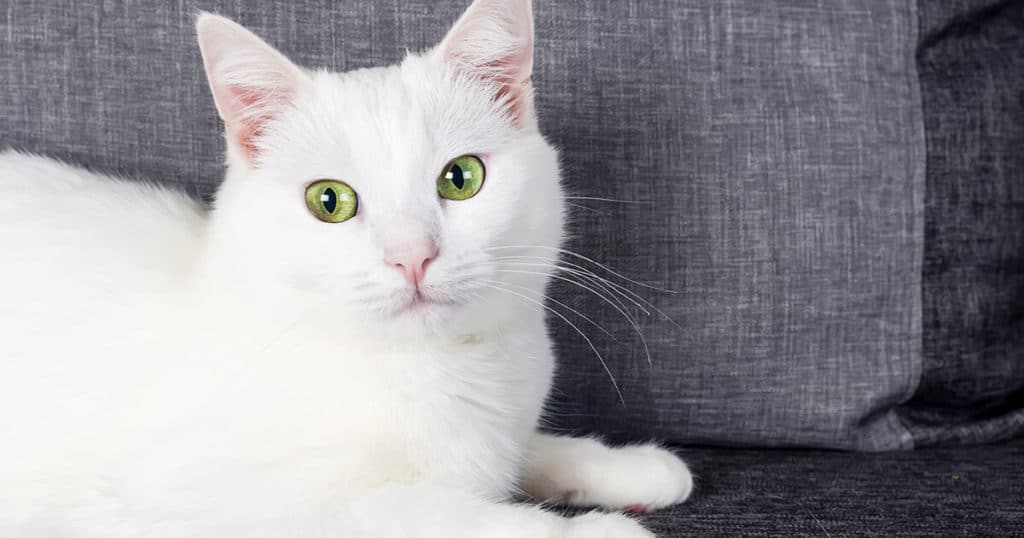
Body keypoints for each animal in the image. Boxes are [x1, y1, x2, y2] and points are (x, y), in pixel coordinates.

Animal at [0, 1, 692, 536]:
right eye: (328, 201)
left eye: (461, 178)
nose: (412, 254)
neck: (434, 371)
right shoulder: (225, 499)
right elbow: (452, 513)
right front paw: (599, 530)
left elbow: (524, 451)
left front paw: (626, 468)